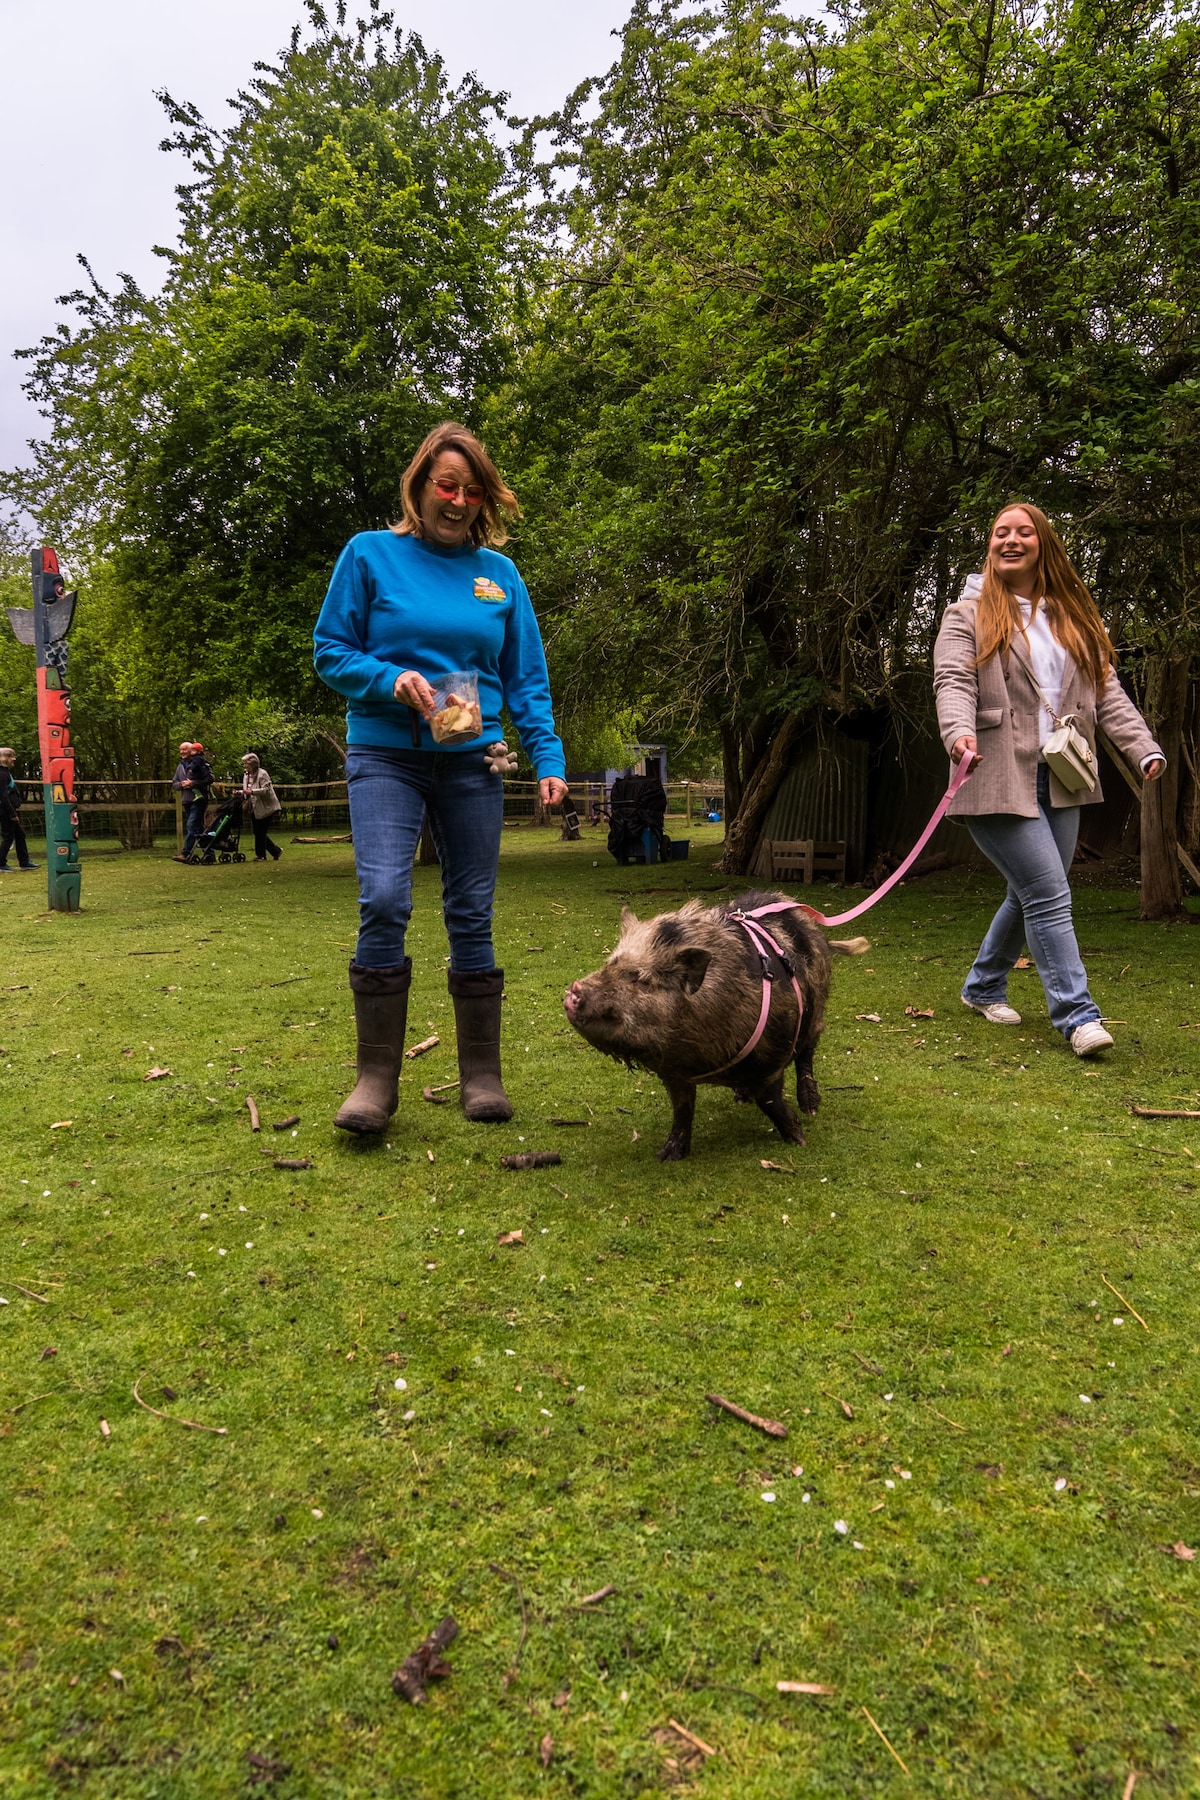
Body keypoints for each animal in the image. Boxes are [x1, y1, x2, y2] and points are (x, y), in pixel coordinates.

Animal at [563, 890, 868, 1160]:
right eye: (609, 964)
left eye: (639, 978)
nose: (573, 990)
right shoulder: (674, 1074)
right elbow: (682, 1109)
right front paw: (667, 1156)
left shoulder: (770, 1058)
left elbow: (771, 1102)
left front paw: (798, 1139)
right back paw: (741, 1097)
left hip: (817, 1008)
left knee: (807, 1054)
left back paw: (810, 1107)